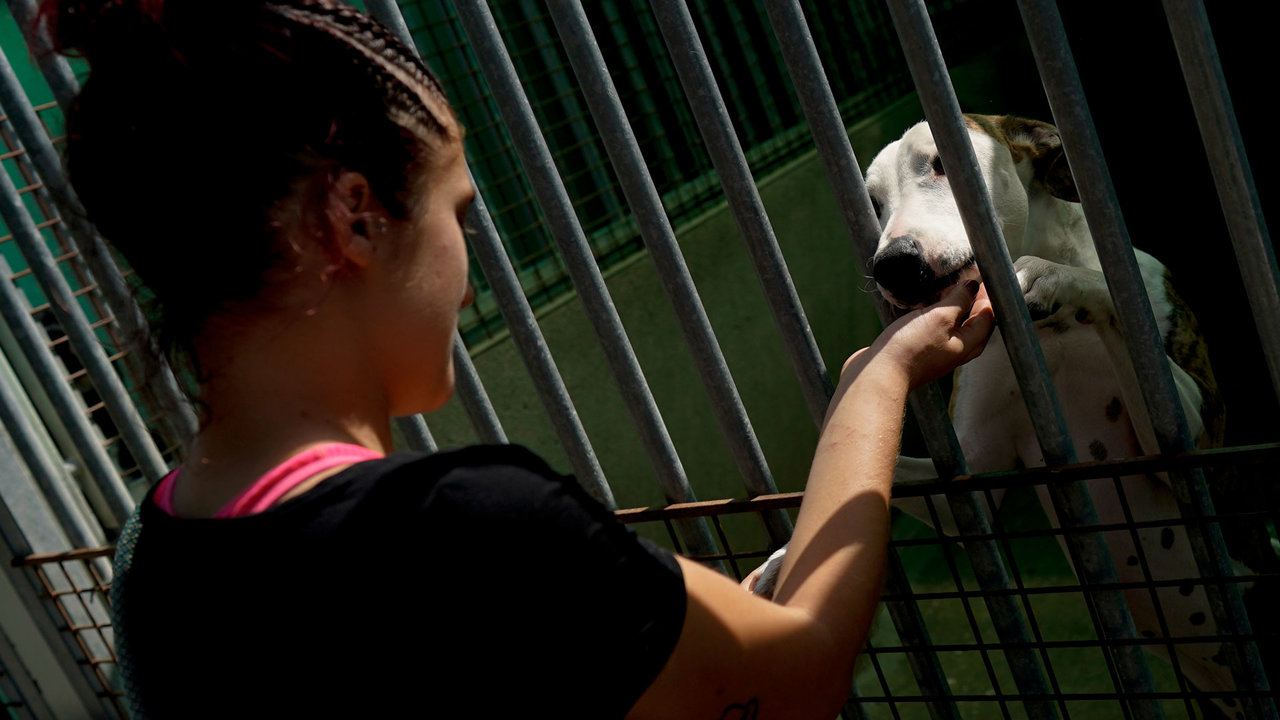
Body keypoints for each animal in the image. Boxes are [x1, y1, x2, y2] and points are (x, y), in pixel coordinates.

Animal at [747, 114, 1249, 712]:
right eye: (871, 202)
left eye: (942, 162)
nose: (892, 265)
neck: (1052, 334)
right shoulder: (965, 488)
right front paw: (786, 557)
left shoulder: (1194, 447)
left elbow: (1101, 290)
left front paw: (1050, 276)